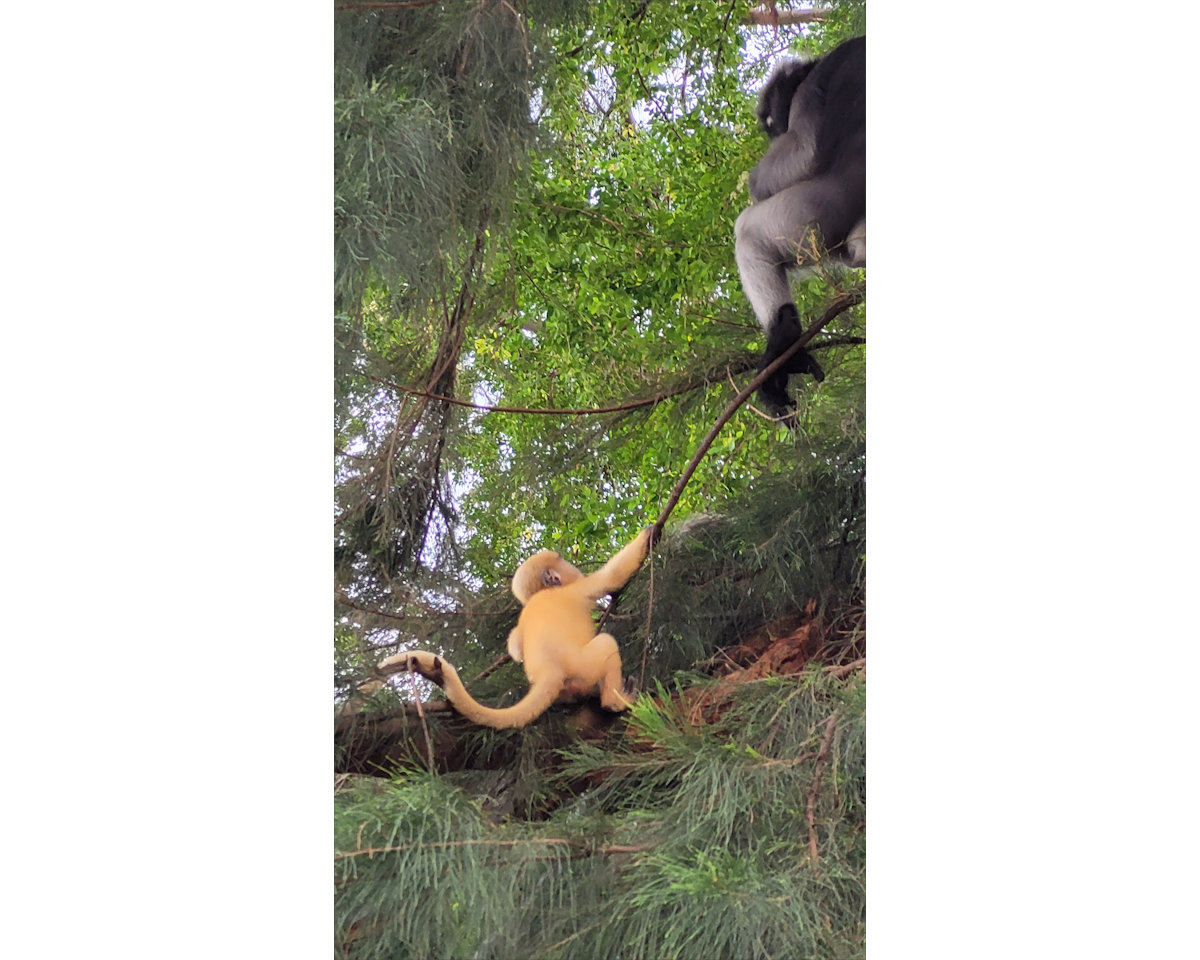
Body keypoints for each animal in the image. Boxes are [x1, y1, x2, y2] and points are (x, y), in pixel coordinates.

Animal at [357, 527, 654, 729]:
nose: (571, 566)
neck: (541, 595)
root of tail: (550, 673)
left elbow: (515, 644)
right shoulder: (576, 590)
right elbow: (612, 576)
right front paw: (650, 532)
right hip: (582, 667)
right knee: (606, 643)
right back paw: (615, 701)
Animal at [734, 35, 865, 420]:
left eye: (771, 118)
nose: (773, 132)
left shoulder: (813, 88)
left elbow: (803, 151)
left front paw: (756, 182)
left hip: (818, 213)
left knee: (748, 233)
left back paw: (784, 342)